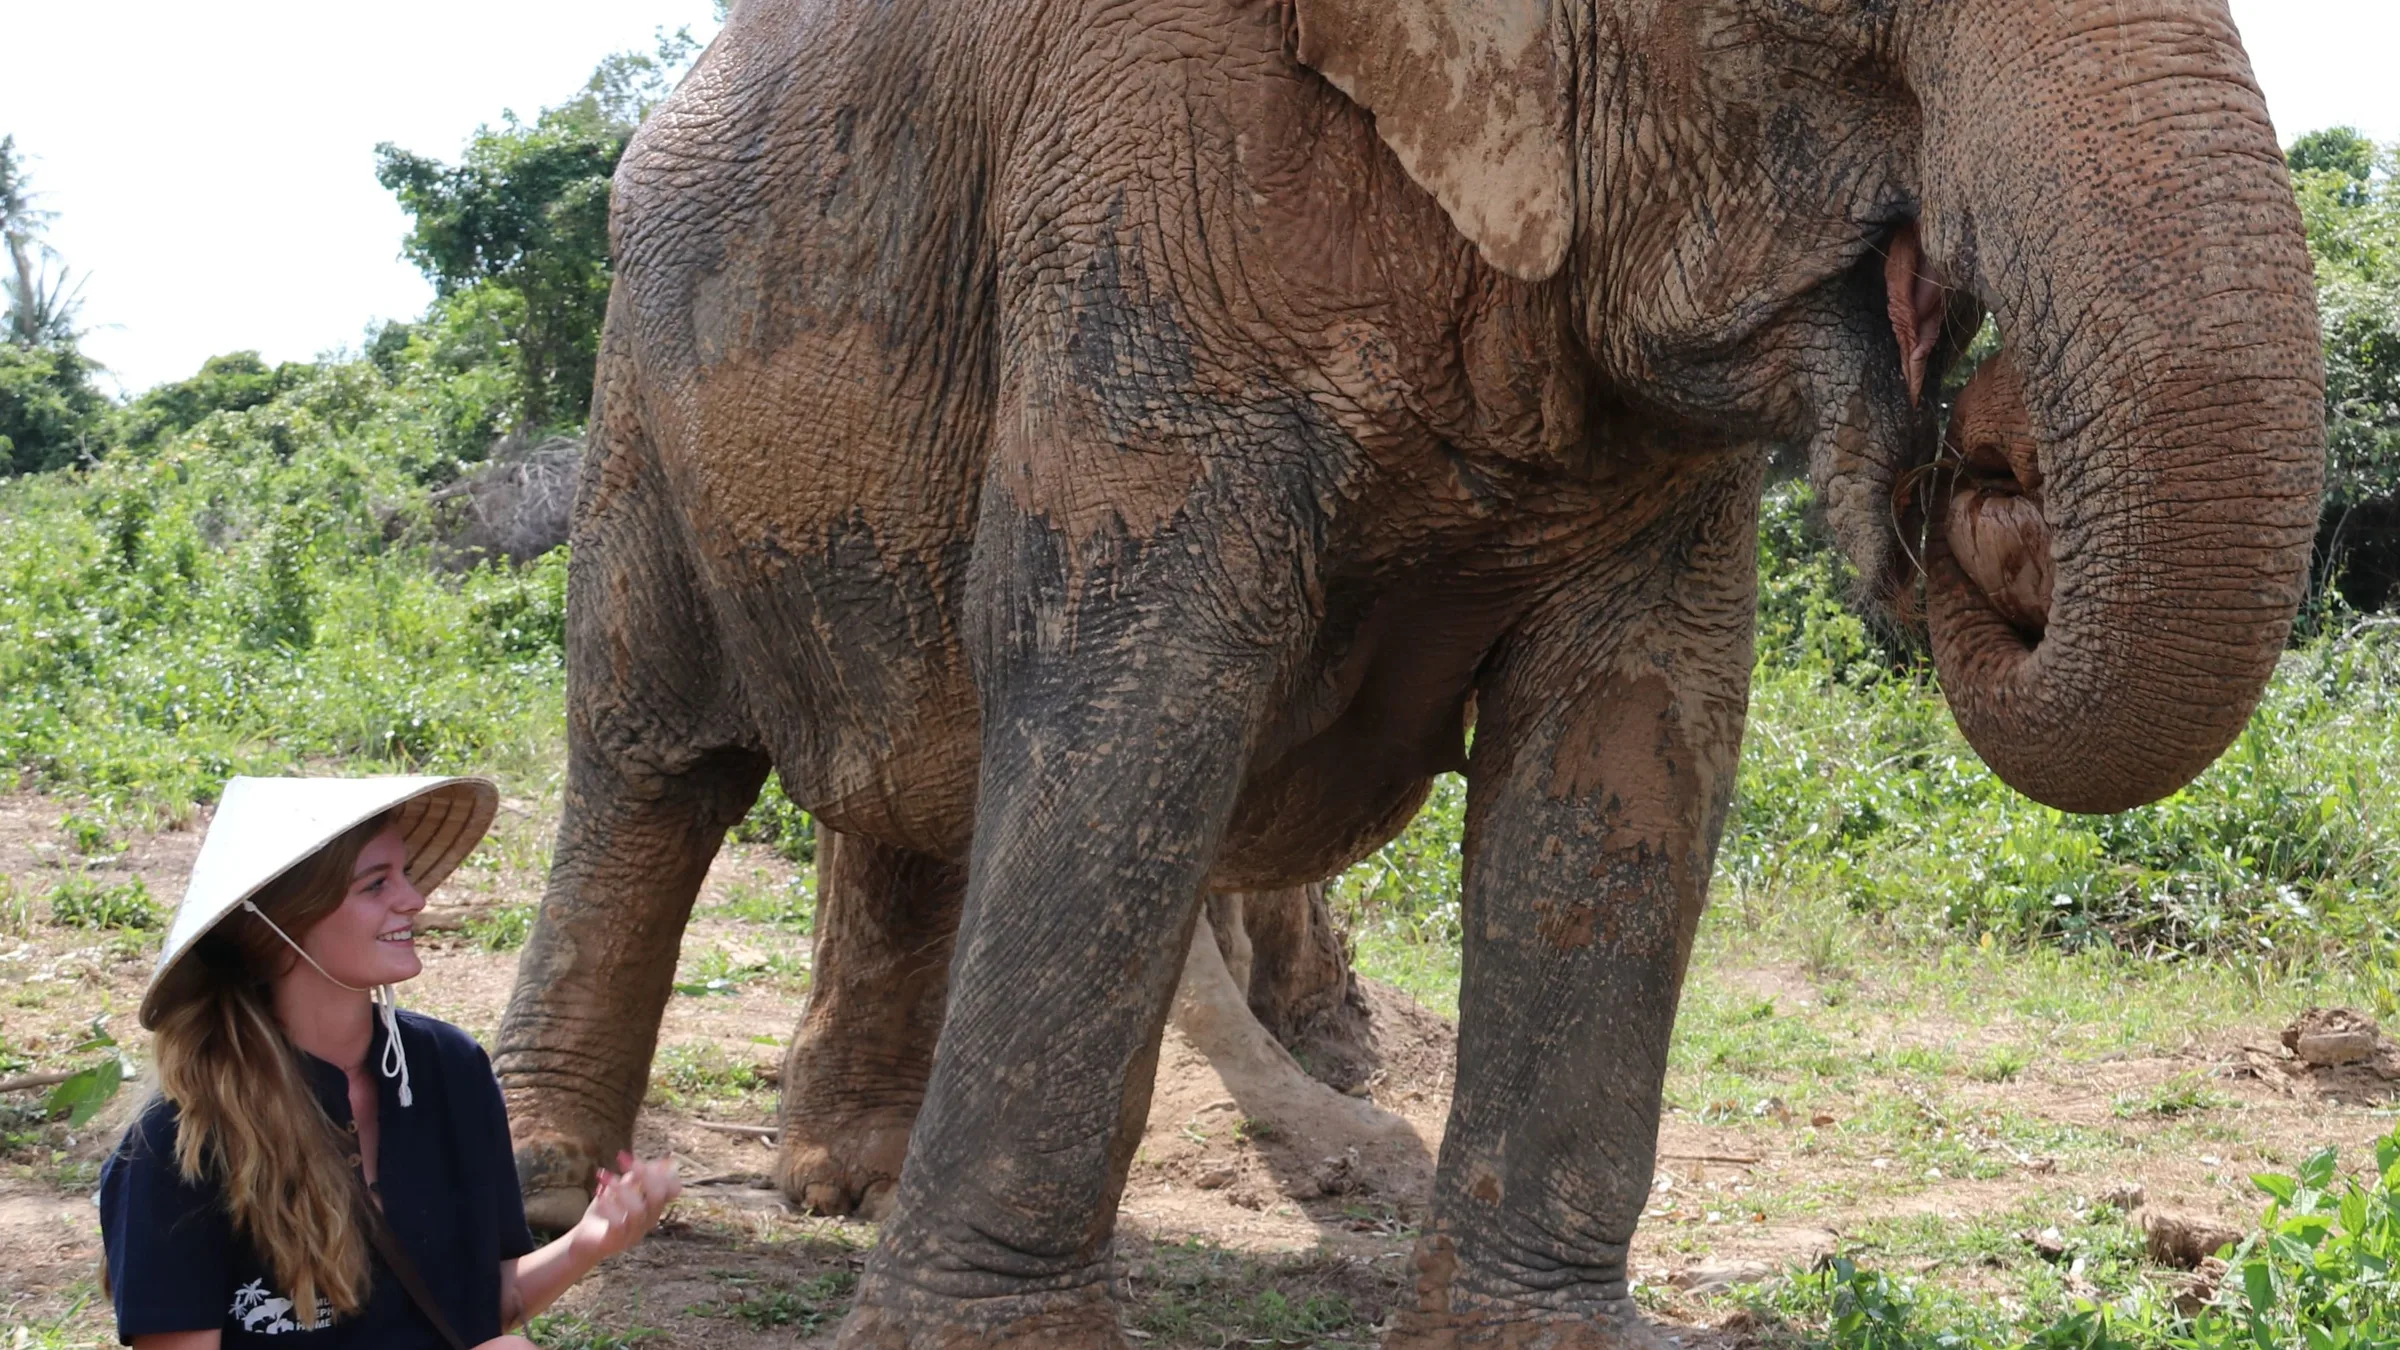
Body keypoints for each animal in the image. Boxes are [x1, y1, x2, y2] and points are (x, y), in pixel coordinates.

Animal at [490, 0, 2326, 1342]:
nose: (1986, 458)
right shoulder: (1148, 194)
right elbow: (1132, 682)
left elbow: (1629, 745)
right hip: (641, 397)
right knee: (650, 764)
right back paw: (543, 1189)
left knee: (910, 784)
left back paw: (846, 1184)